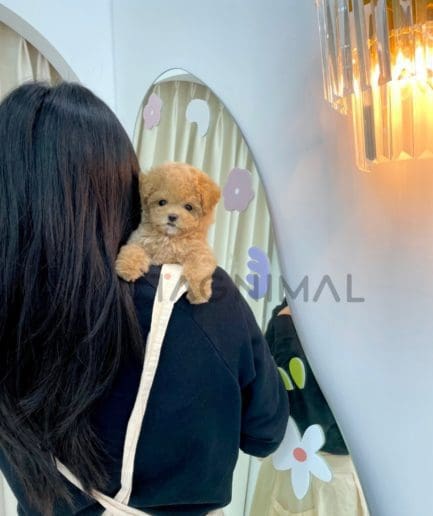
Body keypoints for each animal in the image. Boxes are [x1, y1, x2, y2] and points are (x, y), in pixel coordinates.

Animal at [115, 162, 221, 304]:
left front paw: (199, 293)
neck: (169, 238)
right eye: (162, 202)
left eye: (189, 207)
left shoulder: (200, 251)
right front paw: (127, 268)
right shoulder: (139, 239)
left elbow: (200, 267)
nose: (172, 216)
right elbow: (133, 250)